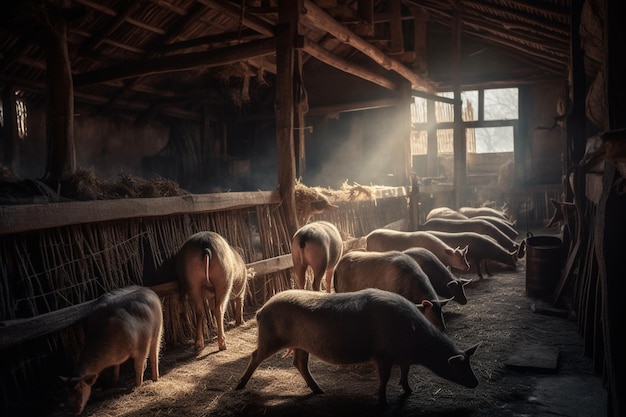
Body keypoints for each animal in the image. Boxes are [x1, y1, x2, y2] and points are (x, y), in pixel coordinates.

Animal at [61, 284, 161, 414]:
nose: (75, 412)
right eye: (67, 396)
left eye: (80, 389)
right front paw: (113, 382)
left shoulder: (142, 346)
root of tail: (144, 288)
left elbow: (139, 367)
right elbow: (115, 368)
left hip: (158, 331)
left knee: (155, 355)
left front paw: (138, 385)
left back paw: (155, 378)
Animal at [234, 290, 478, 404]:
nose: (476, 383)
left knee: (299, 363)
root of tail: (261, 310)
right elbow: (384, 379)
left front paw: (409, 391)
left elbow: (405, 373)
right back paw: (239, 386)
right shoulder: (382, 356)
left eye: (469, 364)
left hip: (301, 345)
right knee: (255, 355)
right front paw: (383, 400)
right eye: (459, 366)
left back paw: (319, 390)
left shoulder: (403, 358)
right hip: (270, 339)